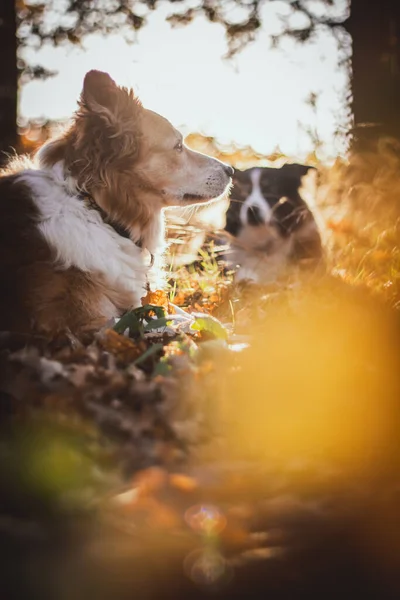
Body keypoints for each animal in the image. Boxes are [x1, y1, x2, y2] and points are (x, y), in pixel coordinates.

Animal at [0, 70, 233, 338]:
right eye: (177, 146)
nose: (231, 170)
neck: (97, 212)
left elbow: (179, 311)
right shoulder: (90, 323)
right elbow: (172, 321)